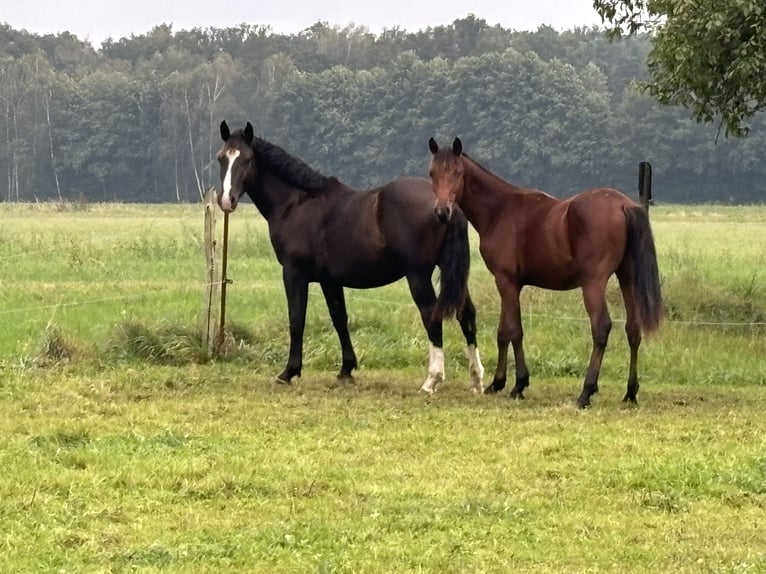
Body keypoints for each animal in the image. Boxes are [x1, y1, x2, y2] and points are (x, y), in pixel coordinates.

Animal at [214, 120, 486, 392]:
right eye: (221, 158)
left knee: (431, 315)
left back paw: (433, 379)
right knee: (467, 314)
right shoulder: (329, 281)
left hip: (418, 276)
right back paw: (477, 379)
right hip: (451, 273)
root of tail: (447, 206)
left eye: (247, 159)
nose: (227, 200)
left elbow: (296, 320)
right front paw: (346, 368)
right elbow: (339, 319)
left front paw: (288, 372)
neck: (296, 203)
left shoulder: (294, 274)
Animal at [428, 138, 664, 410]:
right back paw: (630, 393)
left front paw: (518, 385)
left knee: (601, 328)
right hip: (627, 277)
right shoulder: (509, 284)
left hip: (593, 284)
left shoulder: (506, 281)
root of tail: (624, 205)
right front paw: (497, 383)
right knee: (633, 329)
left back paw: (586, 392)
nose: (442, 212)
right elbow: (502, 332)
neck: (501, 211)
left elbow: (514, 331)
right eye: (432, 173)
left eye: (457, 172)